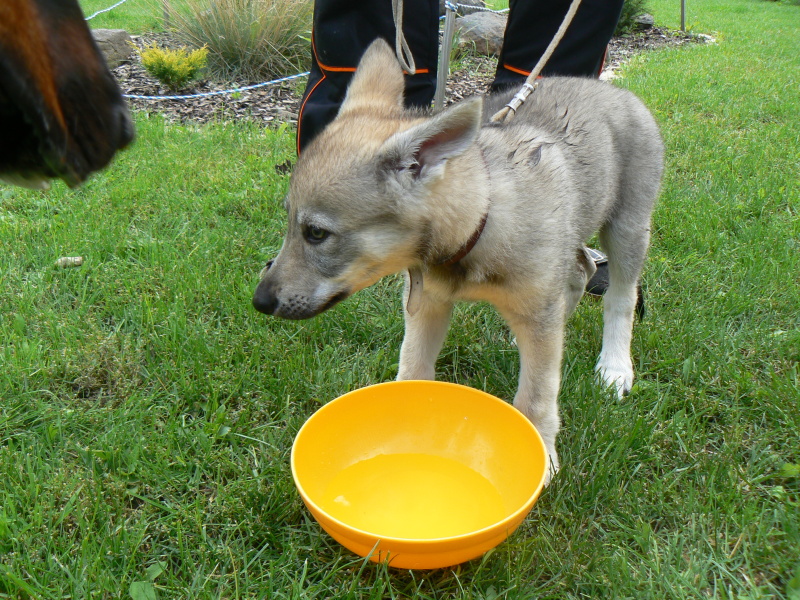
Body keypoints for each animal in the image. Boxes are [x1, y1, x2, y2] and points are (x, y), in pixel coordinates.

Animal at [255, 38, 664, 482]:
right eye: (289, 221)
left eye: (316, 233)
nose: (260, 300)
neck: (479, 225)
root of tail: (613, 89)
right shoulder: (426, 305)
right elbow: (412, 368)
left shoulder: (536, 310)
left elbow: (537, 394)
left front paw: (544, 455)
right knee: (580, 272)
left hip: (627, 230)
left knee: (620, 297)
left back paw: (615, 367)